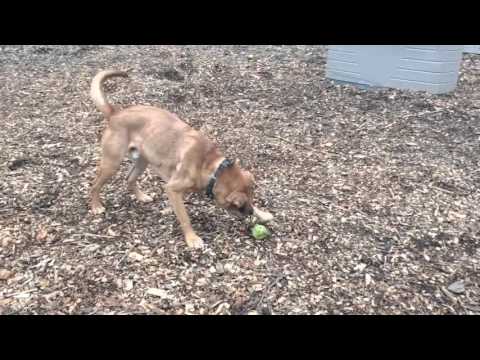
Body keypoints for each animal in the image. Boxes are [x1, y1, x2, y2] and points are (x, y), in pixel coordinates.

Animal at [88, 69, 272, 249]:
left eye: (251, 199)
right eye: (238, 206)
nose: (249, 213)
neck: (211, 167)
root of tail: (115, 113)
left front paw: (262, 213)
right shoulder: (173, 190)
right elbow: (185, 218)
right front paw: (192, 238)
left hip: (142, 161)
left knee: (129, 178)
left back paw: (141, 197)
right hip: (112, 163)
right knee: (95, 185)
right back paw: (96, 206)